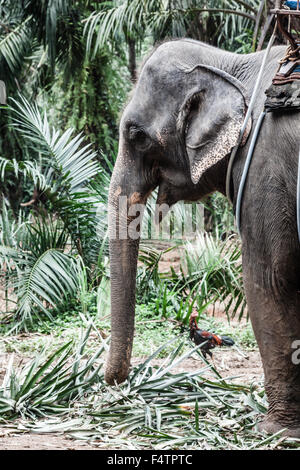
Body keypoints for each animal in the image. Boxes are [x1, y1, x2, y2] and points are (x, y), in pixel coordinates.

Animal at [106, 39, 300, 436]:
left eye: (137, 135)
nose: (114, 382)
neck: (236, 65)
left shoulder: (265, 166)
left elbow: (270, 280)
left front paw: (275, 431)